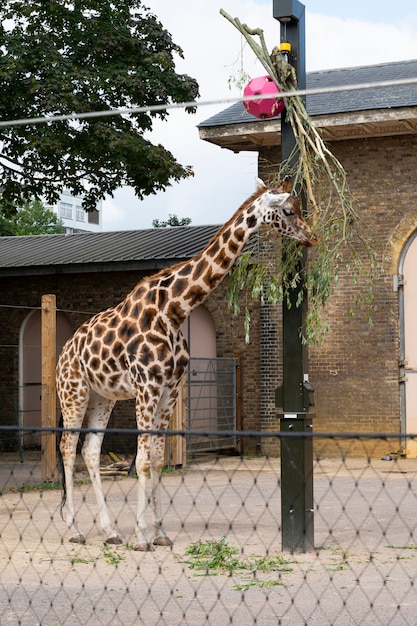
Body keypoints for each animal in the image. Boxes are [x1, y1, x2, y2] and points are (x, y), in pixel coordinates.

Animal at [55, 178, 316, 548]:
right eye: (289, 210)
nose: (312, 236)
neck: (174, 310)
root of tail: (64, 350)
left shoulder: (171, 390)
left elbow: (157, 459)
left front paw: (160, 534)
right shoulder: (147, 387)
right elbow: (143, 460)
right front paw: (142, 536)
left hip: (102, 397)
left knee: (90, 450)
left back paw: (109, 532)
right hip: (73, 392)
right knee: (67, 447)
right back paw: (75, 529)